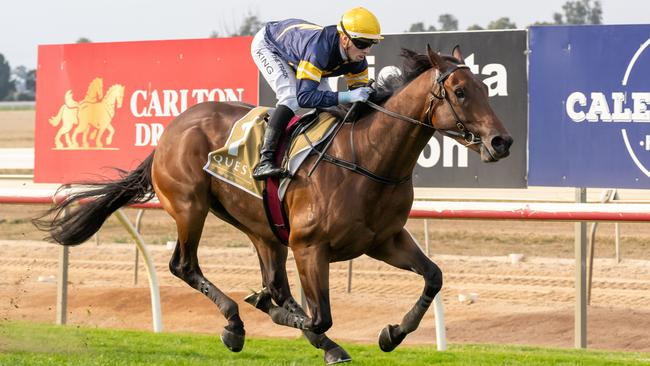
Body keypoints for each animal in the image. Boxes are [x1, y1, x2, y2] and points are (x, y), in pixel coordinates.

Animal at [34, 46, 512, 364]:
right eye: (460, 91)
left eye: (484, 87)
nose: (501, 142)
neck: (368, 156)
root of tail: (170, 129)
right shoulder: (310, 247)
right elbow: (319, 317)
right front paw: (273, 311)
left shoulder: (385, 240)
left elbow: (433, 277)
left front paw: (392, 333)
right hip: (190, 206)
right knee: (184, 265)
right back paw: (235, 323)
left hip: (263, 228)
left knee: (274, 280)